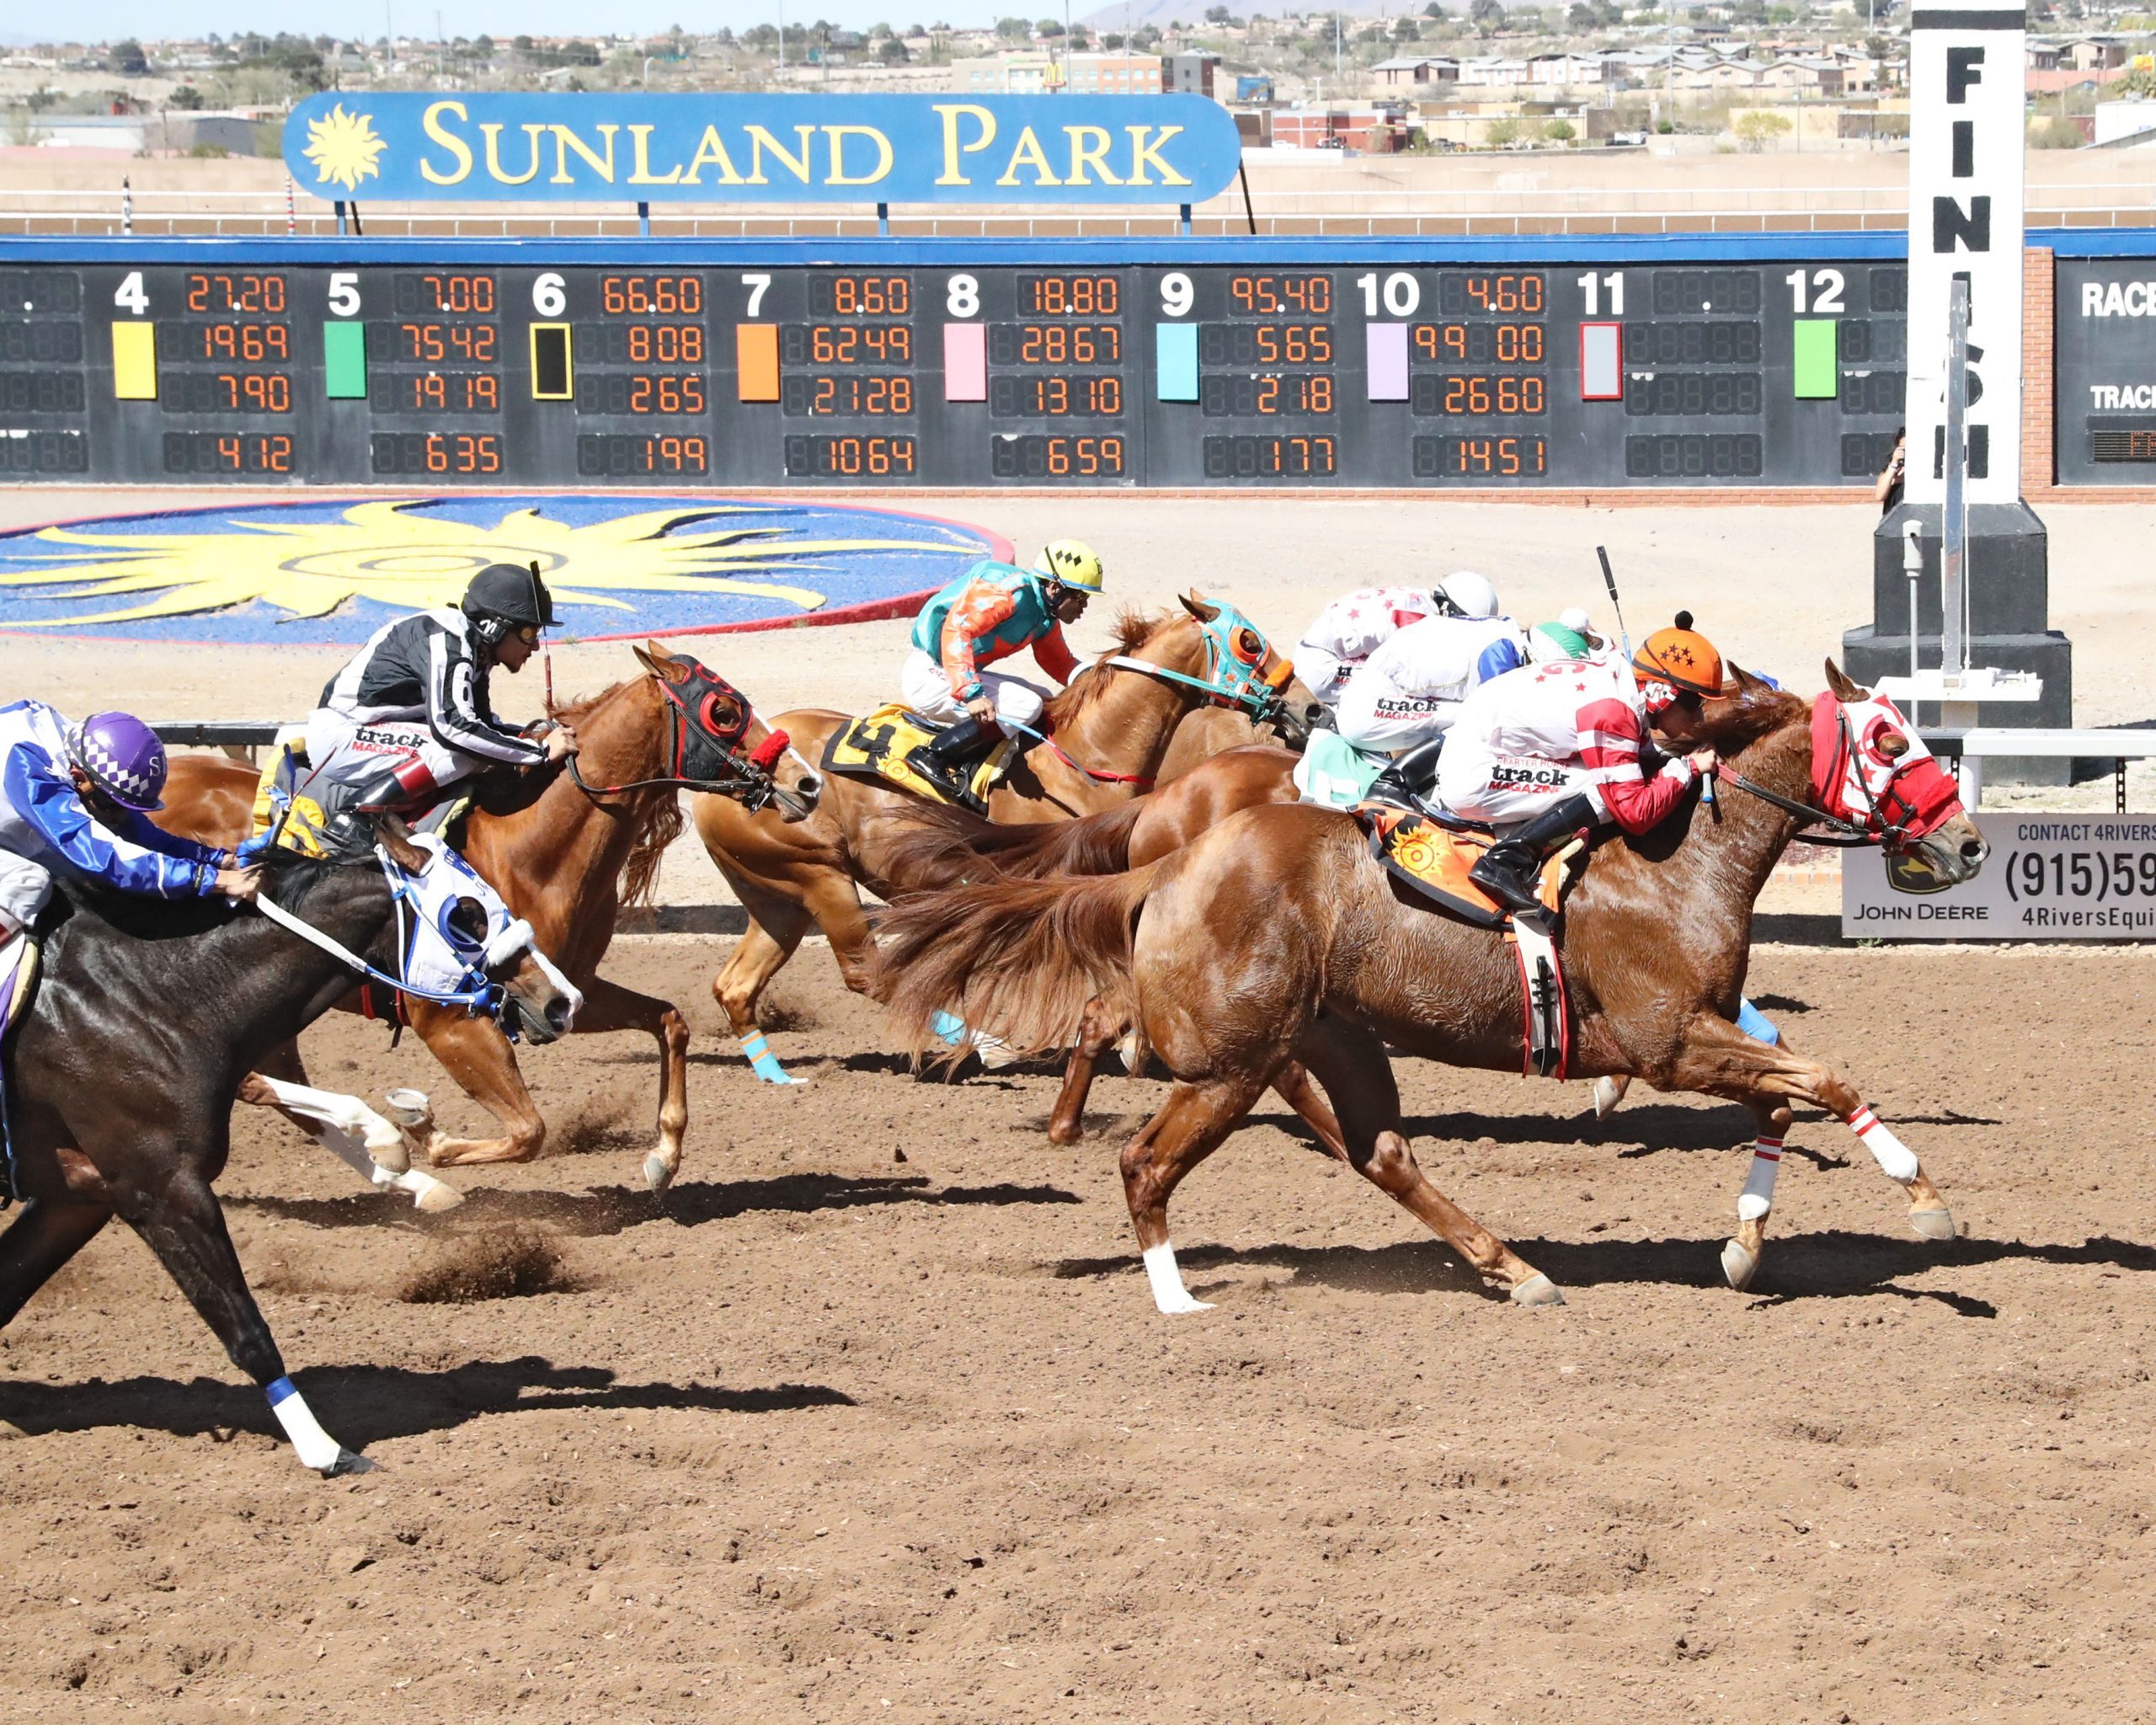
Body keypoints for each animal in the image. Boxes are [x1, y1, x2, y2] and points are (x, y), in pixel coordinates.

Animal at [0, 819, 582, 1466]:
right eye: (468, 915)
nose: (562, 1001)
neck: (149, 996)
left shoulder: (75, 1198)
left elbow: (7, 1290)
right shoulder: (162, 1189)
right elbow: (245, 1327)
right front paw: (327, 1450)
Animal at [149, 638, 810, 1190]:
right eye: (724, 711)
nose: (805, 783)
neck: (529, 849)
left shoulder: (564, 993)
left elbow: (670, 1021)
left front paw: (664, 1157)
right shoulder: (448, 1020)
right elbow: (527, 1132)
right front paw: (423, 1131)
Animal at [690, 595, 1310, 1078]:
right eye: (1249, 641)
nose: (1309, 708)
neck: (1085, 759)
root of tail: (720, 779)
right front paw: (1131, 1042)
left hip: (776, 893)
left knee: (736, 984)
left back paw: (778, 1076)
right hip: (821, 877)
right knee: (871, 973)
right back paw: (988, 1045)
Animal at [871, 664, 1983, 1311]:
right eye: (1890, 740)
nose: (1969, 842)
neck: (1681, 859)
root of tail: (1170, 856)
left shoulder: (1698, 1034)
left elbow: (1784, 1100)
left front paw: (1745, 1247)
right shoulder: (1671, 1039)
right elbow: (1825, 1078)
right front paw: (1923, 1197)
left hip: (1334, 1036)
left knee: (1381, 1152)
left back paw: (1515, 1268)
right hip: (1233, 1062)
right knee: (1146, 1160)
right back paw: (1176, 1295)